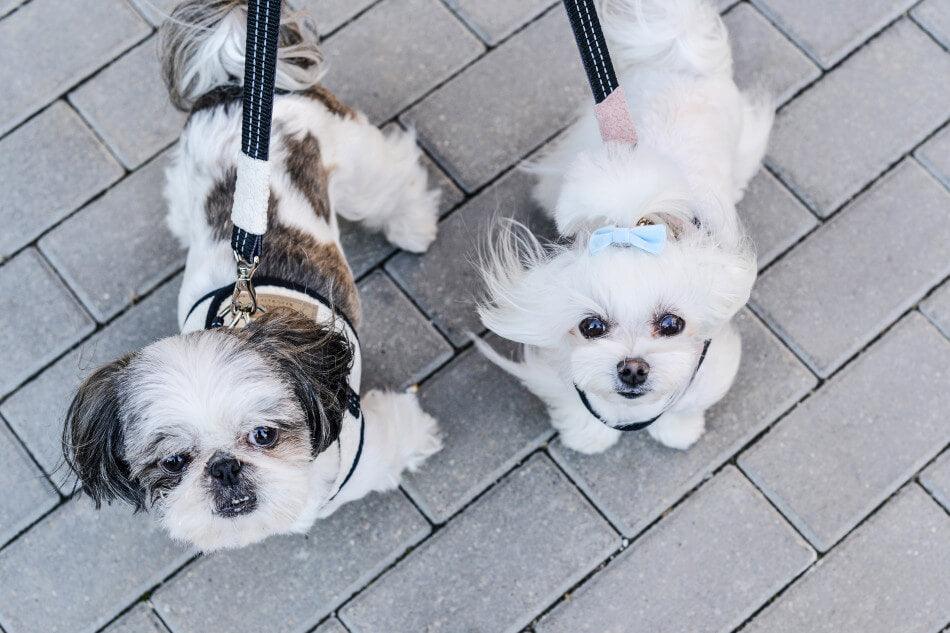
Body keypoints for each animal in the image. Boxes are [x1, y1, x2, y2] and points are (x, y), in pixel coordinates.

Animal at [63, 0, 442, 548]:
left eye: (264, 434)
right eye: (174, 462)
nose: (224, 467)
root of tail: (239, 84)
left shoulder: (367, 448)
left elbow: (399, 438)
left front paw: (423, 434)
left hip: (354, 165)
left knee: (390, 179)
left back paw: (413, 225)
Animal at [480, 0, 768, 454]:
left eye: (672, 324)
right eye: (591, 327)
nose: (633, 368)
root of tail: (677, 60)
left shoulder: (708, 360)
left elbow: (686, 401)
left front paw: (677, 429)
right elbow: (575, 397)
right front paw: (588, 435)